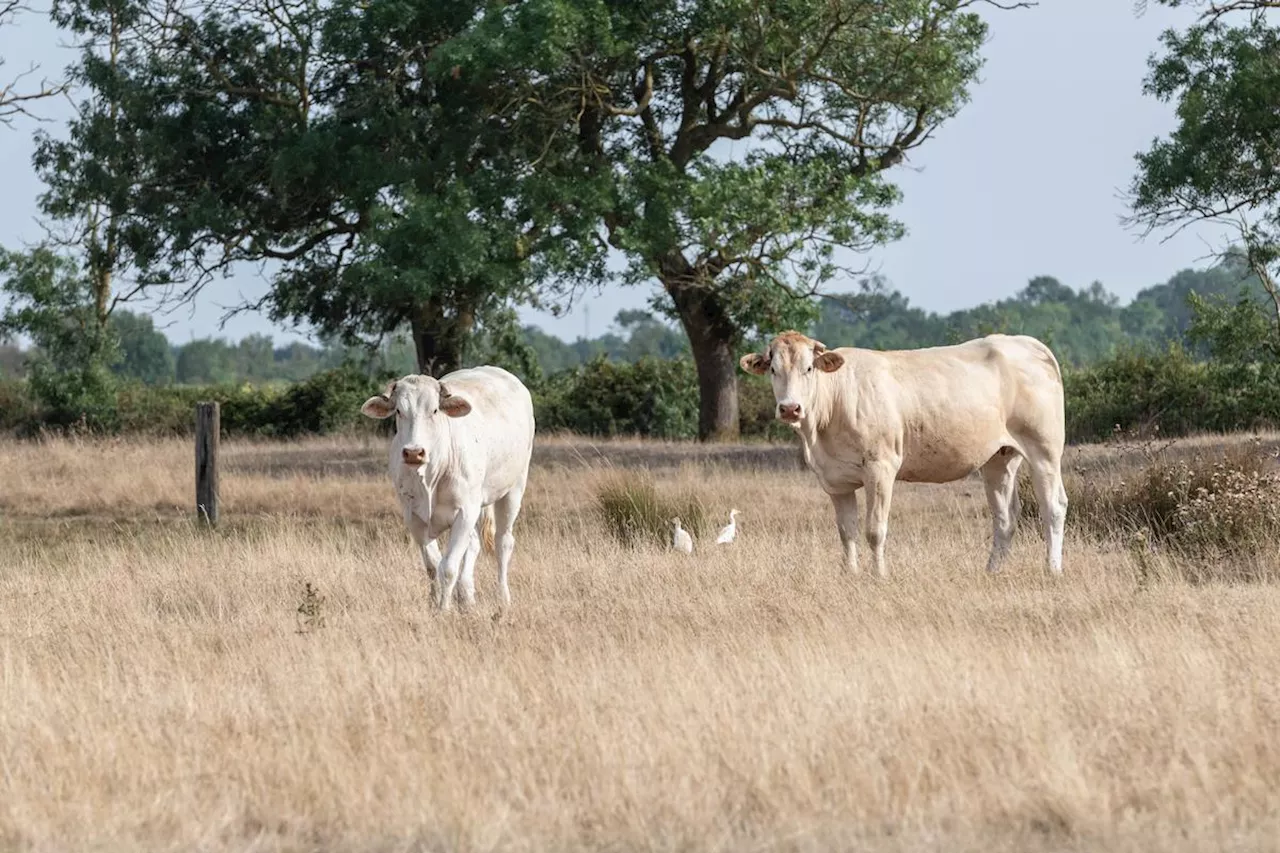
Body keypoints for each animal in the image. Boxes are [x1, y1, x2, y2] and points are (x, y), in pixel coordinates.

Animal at [360, 361, 535, 607]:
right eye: (399, 411)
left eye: (434, 410)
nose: (413, 452)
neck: (431, 476)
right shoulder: (414, 517)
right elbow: (433, 566)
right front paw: (435, 604)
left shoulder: (465, 513)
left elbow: (449, 568)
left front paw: (444, 608)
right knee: (474, 544)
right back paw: (466, 594)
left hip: (514, 489)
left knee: (503, 542)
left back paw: (503, 597)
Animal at [742, 327, 1070, 573]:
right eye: (773, 369)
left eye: (809, 368)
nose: (790, 408)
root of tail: (1026, 343)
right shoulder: (835, 480)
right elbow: (846, 532)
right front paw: (850, 575)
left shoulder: (881, 467)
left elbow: (875, 530)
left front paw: (879, 576)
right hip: (998, 459)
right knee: (1005, 517)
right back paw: (992, 571)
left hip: (1044, 449)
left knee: (1053, 506)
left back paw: (1052, 569)